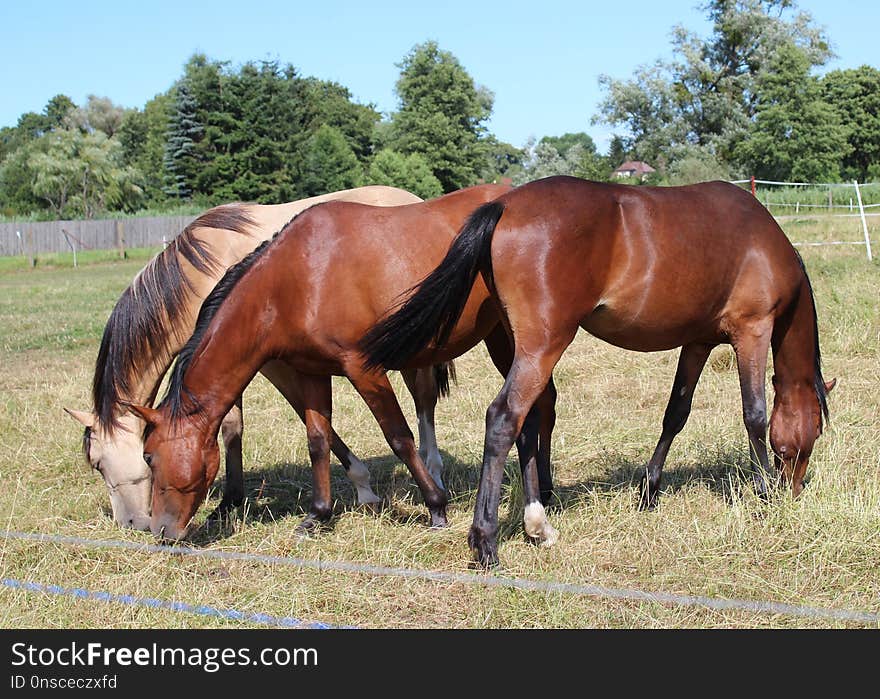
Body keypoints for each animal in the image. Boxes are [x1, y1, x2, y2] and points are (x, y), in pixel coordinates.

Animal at [129, 183, 556, 544]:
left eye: (149, 456)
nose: (160, 532)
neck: (295, 280)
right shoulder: (312, 372)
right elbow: (318, 440)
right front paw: (318, 514)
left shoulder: (364, 369)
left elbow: (399, 436)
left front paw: (436, 506)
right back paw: (545, 492)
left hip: (512, 340)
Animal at [360, 175, 836, 568]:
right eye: (813, 434)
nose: (795, 490)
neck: (761, 242)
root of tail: (504, 206)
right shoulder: (751, 332)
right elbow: (754, 415)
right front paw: (765, 493)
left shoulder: (698, 342)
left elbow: (675, 414)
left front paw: (649, 491)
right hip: (543, 346)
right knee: (503, 419)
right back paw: (487, 542)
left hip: (519, 347)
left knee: (527, 425)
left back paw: (537, 524)